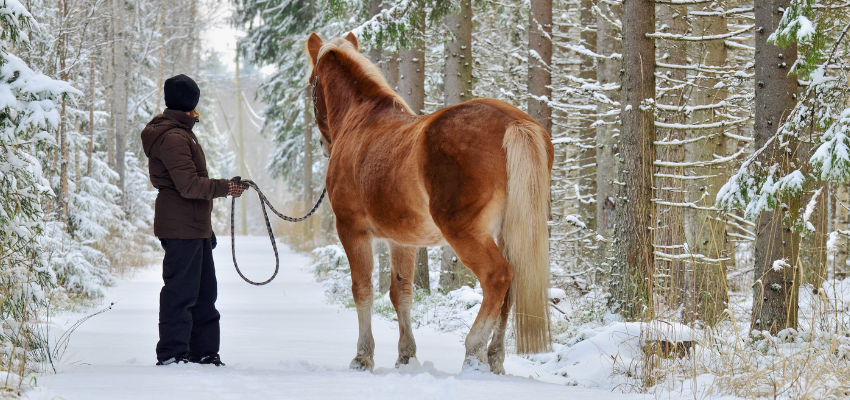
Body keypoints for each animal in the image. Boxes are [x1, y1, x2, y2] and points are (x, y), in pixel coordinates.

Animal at [308, 32, 552, 374]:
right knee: (511, 289)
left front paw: (363, 356)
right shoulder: (402, 241)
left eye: (312, 84)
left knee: (498, 277)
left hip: (464, 231)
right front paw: (405, 356)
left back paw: (474, 351)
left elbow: (362, 289)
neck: (361, 121)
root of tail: (514, 123)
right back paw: (494, 358)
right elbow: (401, 293)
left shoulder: (352, 230)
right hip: (509, 231)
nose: (323, 144)